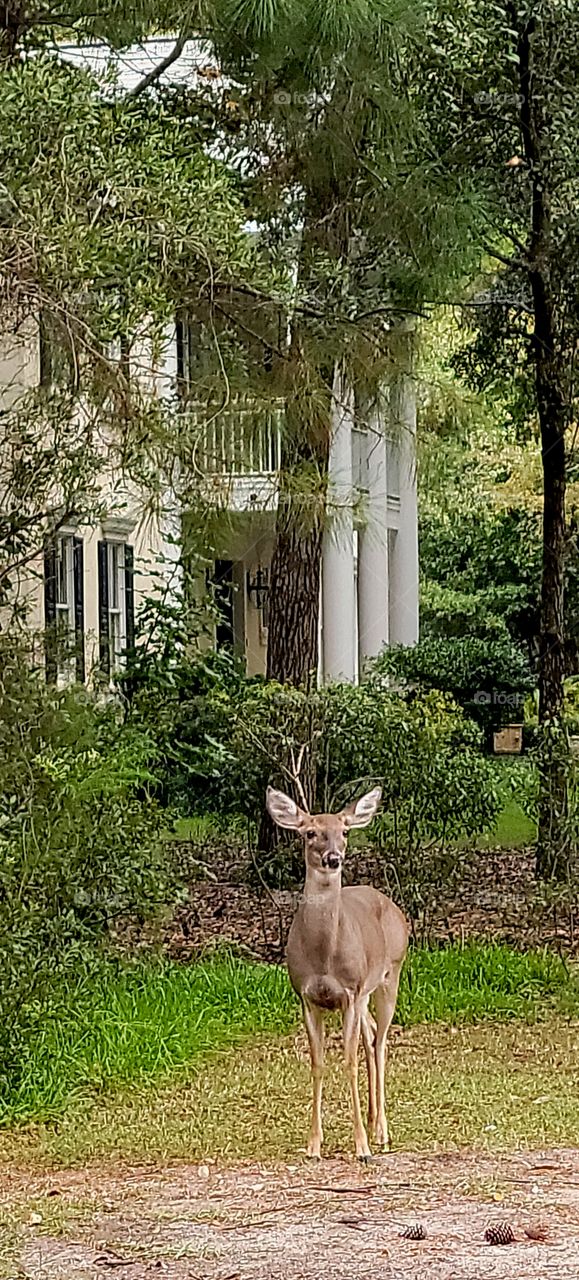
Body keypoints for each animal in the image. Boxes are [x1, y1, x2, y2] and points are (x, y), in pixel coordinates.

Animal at [266, 784, 408, 1163]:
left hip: (390, 975)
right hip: (365, 995)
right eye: (309, 832)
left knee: (381, 1041)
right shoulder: (306, 996)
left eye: (344, 831)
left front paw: (361, 1147)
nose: (333, 858)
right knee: (371, 1036)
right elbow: (317, 1063)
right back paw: (373, 1121)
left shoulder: (349, 992)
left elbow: (348, 1062)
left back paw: (381, 1131)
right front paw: (313, 1145)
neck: (323, 955)